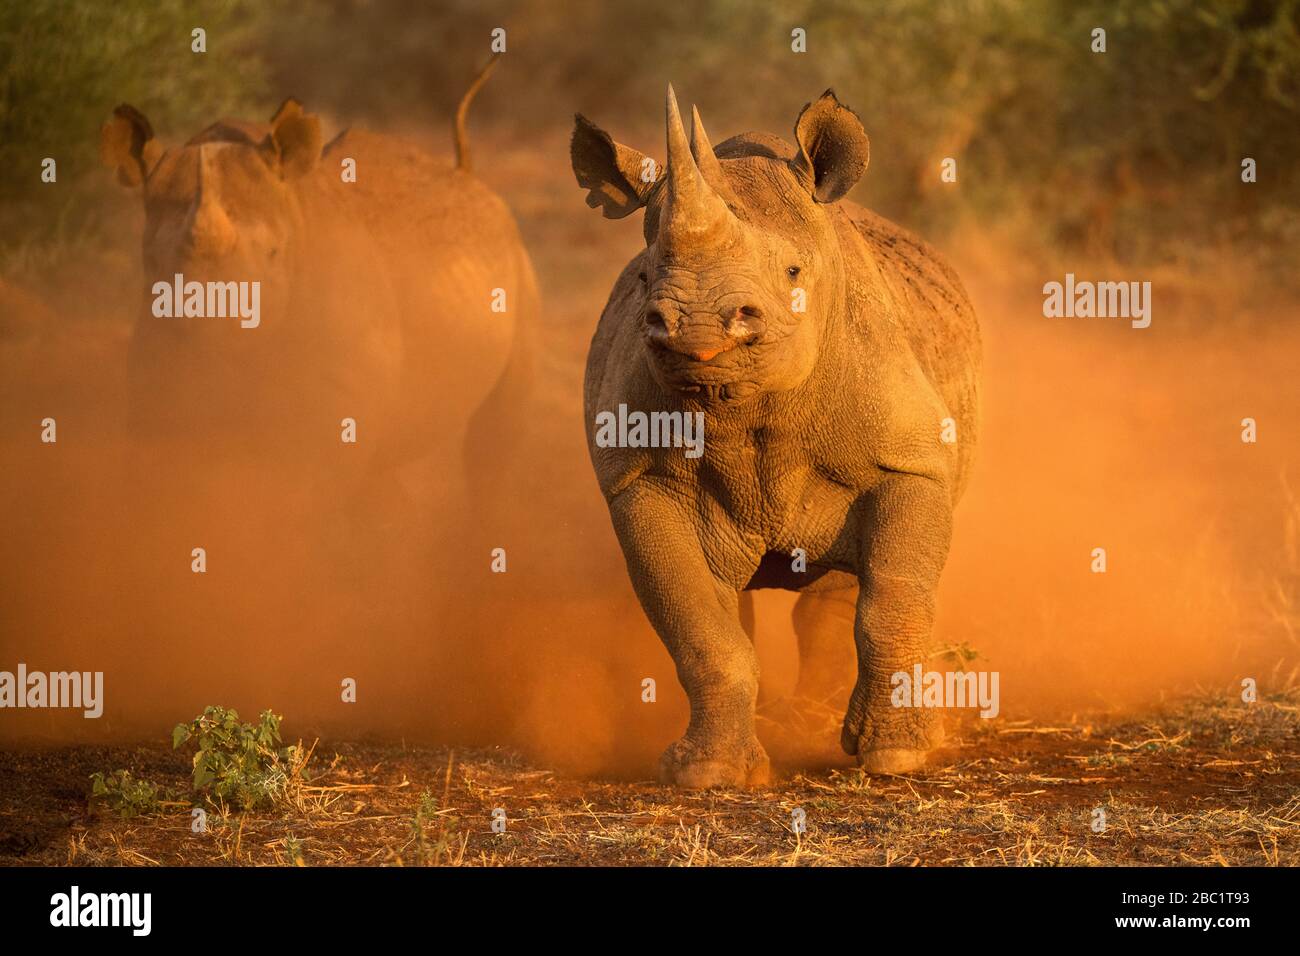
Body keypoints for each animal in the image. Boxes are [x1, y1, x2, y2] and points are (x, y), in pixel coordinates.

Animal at [94, 55, 533, 512]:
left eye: (273, 255)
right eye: (152, 265)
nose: (210, 350)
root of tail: (467, 175)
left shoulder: (338, 397)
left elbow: (309, 491)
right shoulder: (159, 380)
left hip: (517, 268)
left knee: (496, 436)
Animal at [574, 89, 977, 790]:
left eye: (792, 271)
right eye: (645, 279)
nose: (697, 325)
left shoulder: (913, 463)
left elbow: (892, 601)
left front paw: (900, 757)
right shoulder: (640, 482)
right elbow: (699, 628)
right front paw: (708, 773)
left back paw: (818, 723)